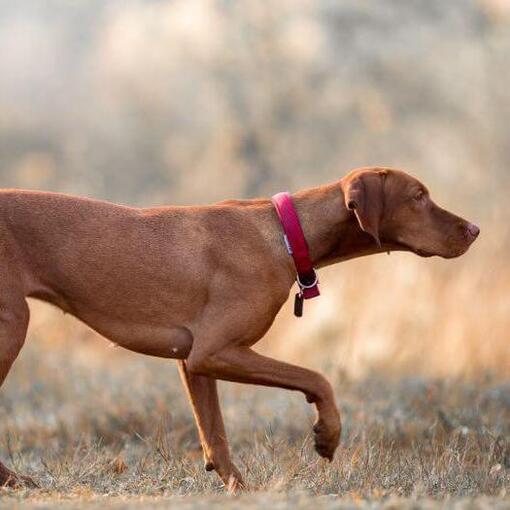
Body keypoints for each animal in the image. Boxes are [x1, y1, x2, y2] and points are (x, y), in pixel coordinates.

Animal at [0, 166, 478, 486]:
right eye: (418, 195)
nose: (474, 228)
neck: (285, 234)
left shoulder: (192, 362)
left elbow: (215, 436)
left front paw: (239, 489)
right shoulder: (214, 350)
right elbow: (317, 378)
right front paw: (327, 434)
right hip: (12, 325)